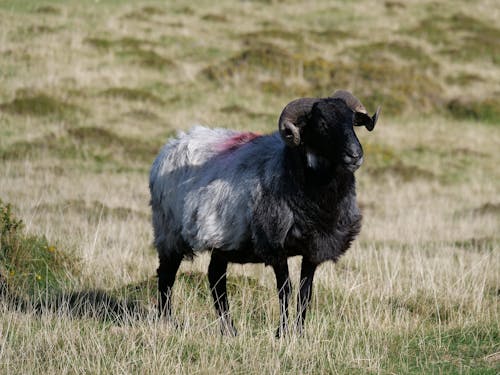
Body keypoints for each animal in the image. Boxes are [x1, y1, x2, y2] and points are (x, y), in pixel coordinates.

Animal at [148, 91, 378, 338]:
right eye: (322, 124)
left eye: (352, 122)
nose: (355, 155)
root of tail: (171, 145)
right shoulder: (275, 246)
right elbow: (285, 290)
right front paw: (282, 333)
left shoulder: (314, 249)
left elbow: (305, 293)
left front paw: (300, 333)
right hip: (169, 231)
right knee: (167, 275)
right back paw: (168, 322)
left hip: (223, 239)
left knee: (215, 277)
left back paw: (229, 330)